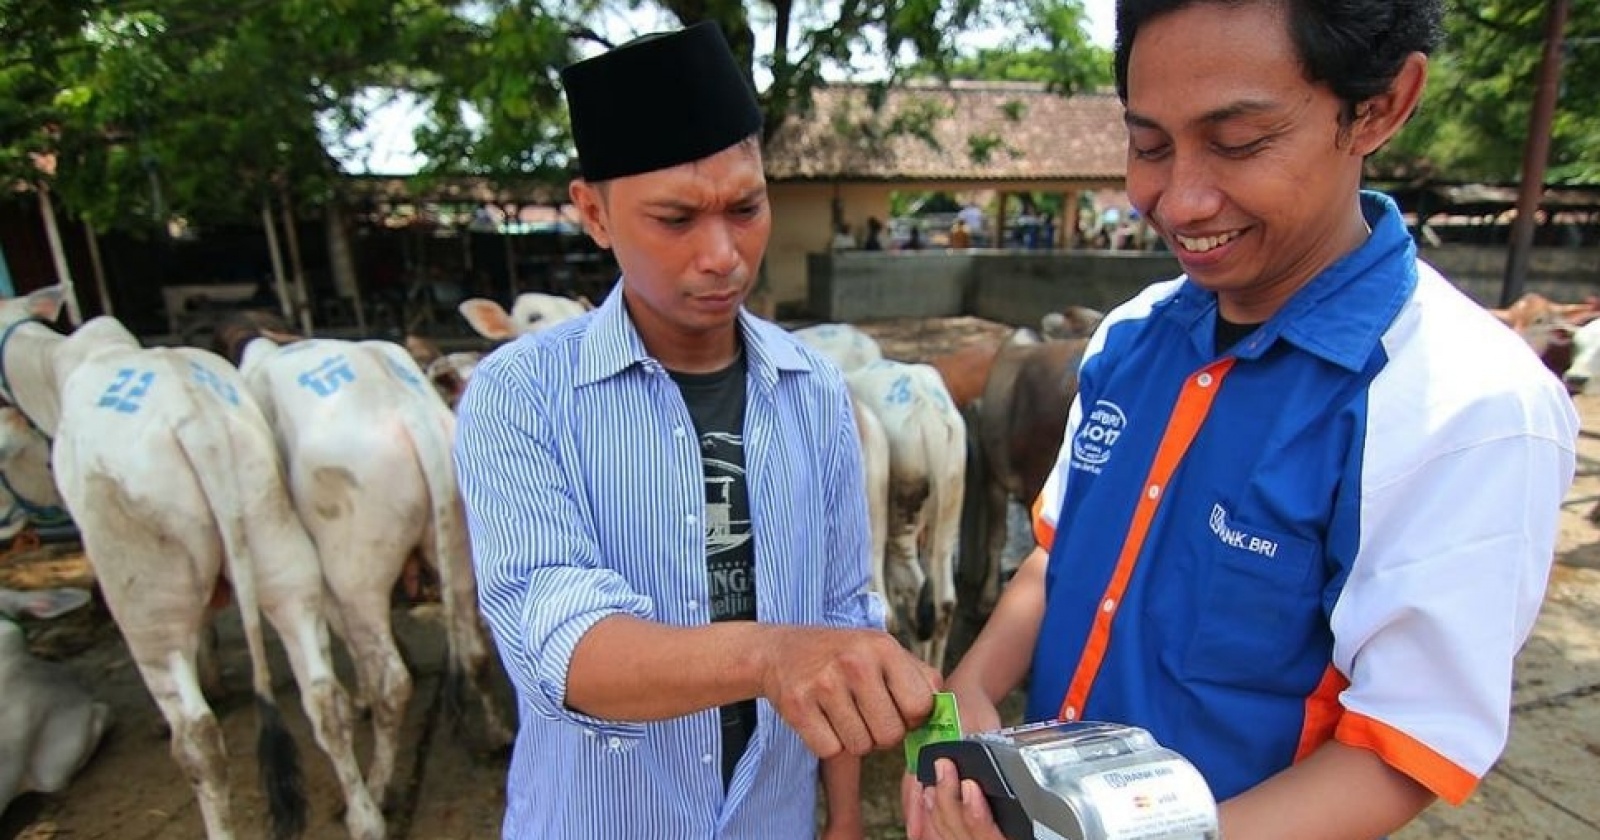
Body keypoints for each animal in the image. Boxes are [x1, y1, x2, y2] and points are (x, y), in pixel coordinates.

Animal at [0, 288, 384, 838]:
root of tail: (198, 422)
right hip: (278, 547)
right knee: (323, 698)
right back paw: (365, 816)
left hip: (147, 597)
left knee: (198, 739)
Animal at [225, 318, 508, 803]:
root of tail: (411, 414)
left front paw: (361, 698)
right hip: (457, 548)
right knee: (474, 651)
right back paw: (497, 735)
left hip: (355, 570)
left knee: (395, 680)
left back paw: (376, 785)